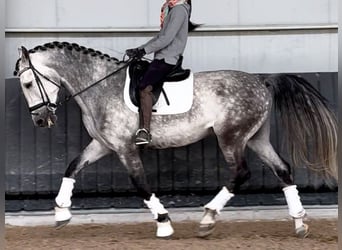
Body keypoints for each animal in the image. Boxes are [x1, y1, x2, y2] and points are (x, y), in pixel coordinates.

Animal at [14, 42, 336, 239]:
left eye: (28, 83)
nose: (41, 121)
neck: (100, 87)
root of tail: (262, 81)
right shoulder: (103, 144)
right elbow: (72, 167)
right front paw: (61, 212)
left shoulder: (124, 148)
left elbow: (141, 184)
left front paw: (164, 224)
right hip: (255, 138)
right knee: (282, 169)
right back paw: (299, 221)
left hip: (231, 137)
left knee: (242, 173)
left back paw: (208, 218)